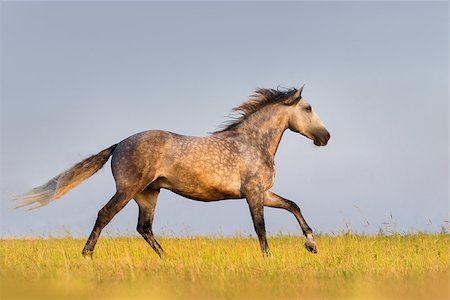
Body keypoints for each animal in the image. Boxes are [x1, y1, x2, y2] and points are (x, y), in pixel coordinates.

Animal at [14, 85, 330, 258]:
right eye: (308, 108)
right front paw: (268, 257)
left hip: (148, 195)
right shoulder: (253, 194)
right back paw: (87, 255)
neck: (251, 142)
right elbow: (260, 227)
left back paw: (167, 258)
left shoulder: (263, 193)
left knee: (144, 227)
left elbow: (293, 206)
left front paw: (312, 244)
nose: (326, 137)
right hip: (128, 190)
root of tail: (119, 144)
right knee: (105, 215)